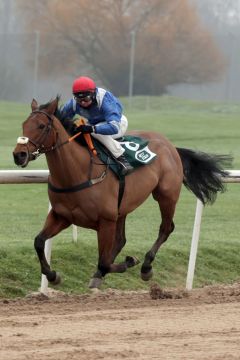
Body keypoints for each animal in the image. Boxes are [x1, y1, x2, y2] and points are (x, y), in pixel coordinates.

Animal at [12, 97, 230, 288]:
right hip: (123, 206)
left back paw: (146, 266)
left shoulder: (106, 220)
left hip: (166, 195)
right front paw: (52, 275)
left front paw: (130, 262)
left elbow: (103, 262)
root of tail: (170, 145)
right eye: (23, 124)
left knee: (166, 228)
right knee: (121, 240)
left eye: (41, 126)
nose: (18, 155)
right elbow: (39, 242)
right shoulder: (62, 216)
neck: (78, 172)